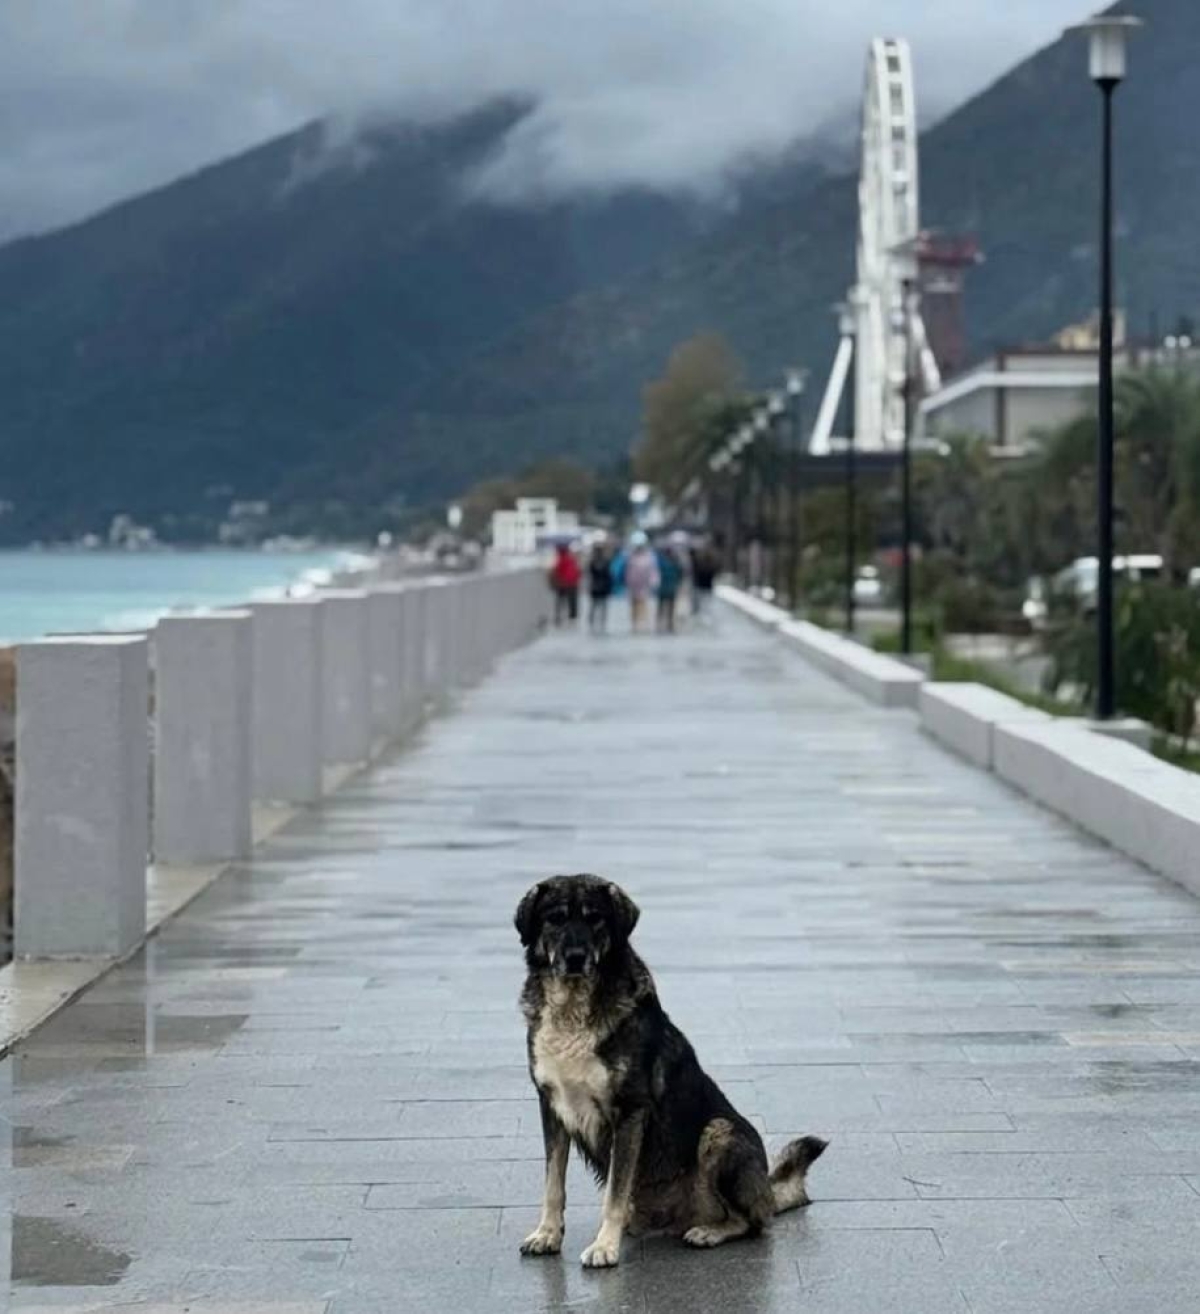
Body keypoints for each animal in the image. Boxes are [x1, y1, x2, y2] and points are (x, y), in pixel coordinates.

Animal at [515, 877, 825, 1266]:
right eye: (554, 919)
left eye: (595, 919)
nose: (574, 958)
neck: (573, 1009)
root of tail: (768, 1191)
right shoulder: (551, 1107)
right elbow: (553, 1184)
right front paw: (547, 1234)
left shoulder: (629, 1112)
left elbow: (614, 1192)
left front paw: (605, 1246)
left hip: (719, 1132)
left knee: (751, 1222)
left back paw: (709, 1231)